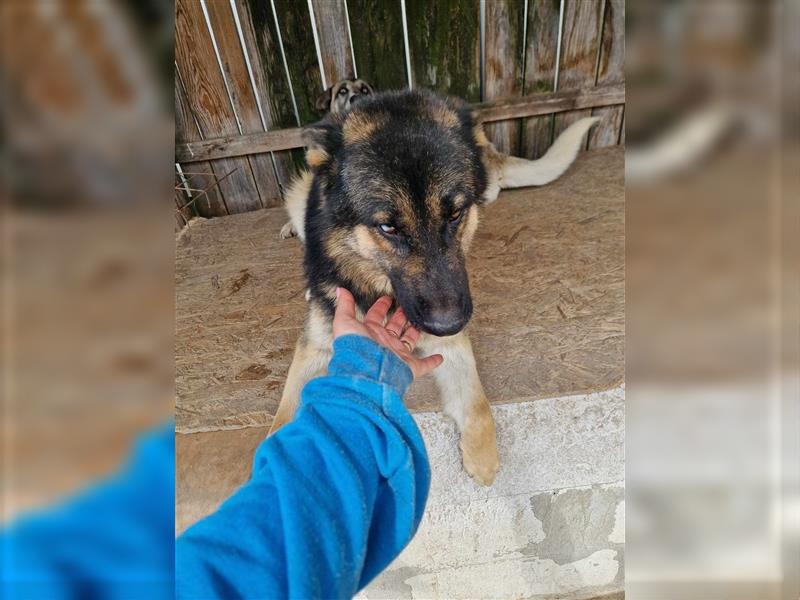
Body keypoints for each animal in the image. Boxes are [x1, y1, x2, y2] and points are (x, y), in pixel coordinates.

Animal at [272, 88, 596, 488]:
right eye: (389, 228)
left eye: (455, 214)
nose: (449, 324)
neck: (380, 287)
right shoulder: (314, 349)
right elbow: (281, 420)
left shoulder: (453, 349)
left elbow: (477, 407)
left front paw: (483, 461)